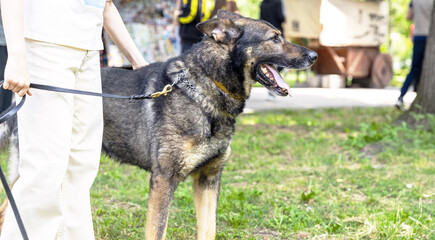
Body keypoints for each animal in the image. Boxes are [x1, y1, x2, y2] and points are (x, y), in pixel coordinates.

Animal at [0, 9, 316, 240]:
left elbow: (208, 230)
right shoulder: (164, 179)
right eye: (274, 38)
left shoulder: (208, 180)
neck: (205, 86)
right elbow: (157, 230)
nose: (313, 56)